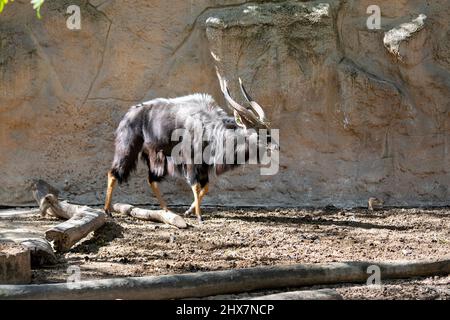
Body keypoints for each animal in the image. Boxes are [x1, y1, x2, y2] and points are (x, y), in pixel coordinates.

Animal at [104, 72, 278, 222]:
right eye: (258, 133)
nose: (276, 147)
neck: (210, 128)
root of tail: (129, 114)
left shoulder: (204, 166)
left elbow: (205, 188)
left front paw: (188, 212)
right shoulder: (191, 161)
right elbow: (195, 186)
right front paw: (199, 216)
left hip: (155, 158)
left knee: (151, 179)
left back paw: (166, 211)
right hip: (128, 150)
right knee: (113, 173)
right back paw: (107, 211)